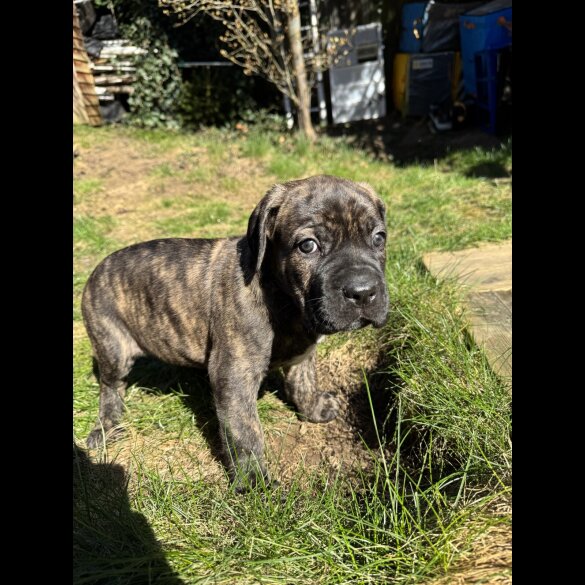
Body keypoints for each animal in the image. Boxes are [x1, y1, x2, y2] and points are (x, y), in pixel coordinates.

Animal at [81, 173, 388, 488]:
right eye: (308, 246)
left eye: (379, 238)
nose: (363, 291)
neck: (284, 301)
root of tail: (97, 270)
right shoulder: (234, 375)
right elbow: (245, 431)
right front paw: (254, 481)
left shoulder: (302, 353)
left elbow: (303, 383)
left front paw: (315, 409)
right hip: (112, 346)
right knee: (111, 387)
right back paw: (105, 428)